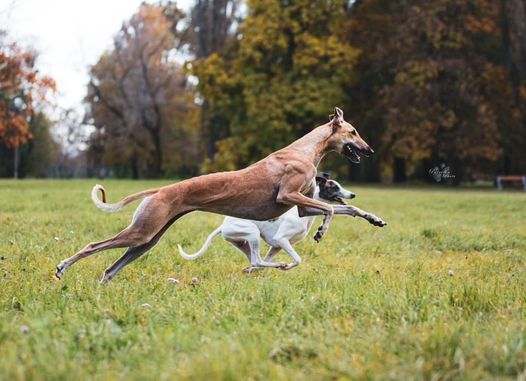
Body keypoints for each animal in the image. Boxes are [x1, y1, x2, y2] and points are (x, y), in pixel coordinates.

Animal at [178, 174, 388, 268]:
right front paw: (287, 265)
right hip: (252, 234)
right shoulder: (281, 240)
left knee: (256, 262)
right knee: (257, 261)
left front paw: (375, 219)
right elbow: (297, 259)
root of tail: (223, 225)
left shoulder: (277, 246)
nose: (352, 194)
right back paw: (279, 265)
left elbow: (350, 210)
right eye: (334, 186)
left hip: (242, 242)